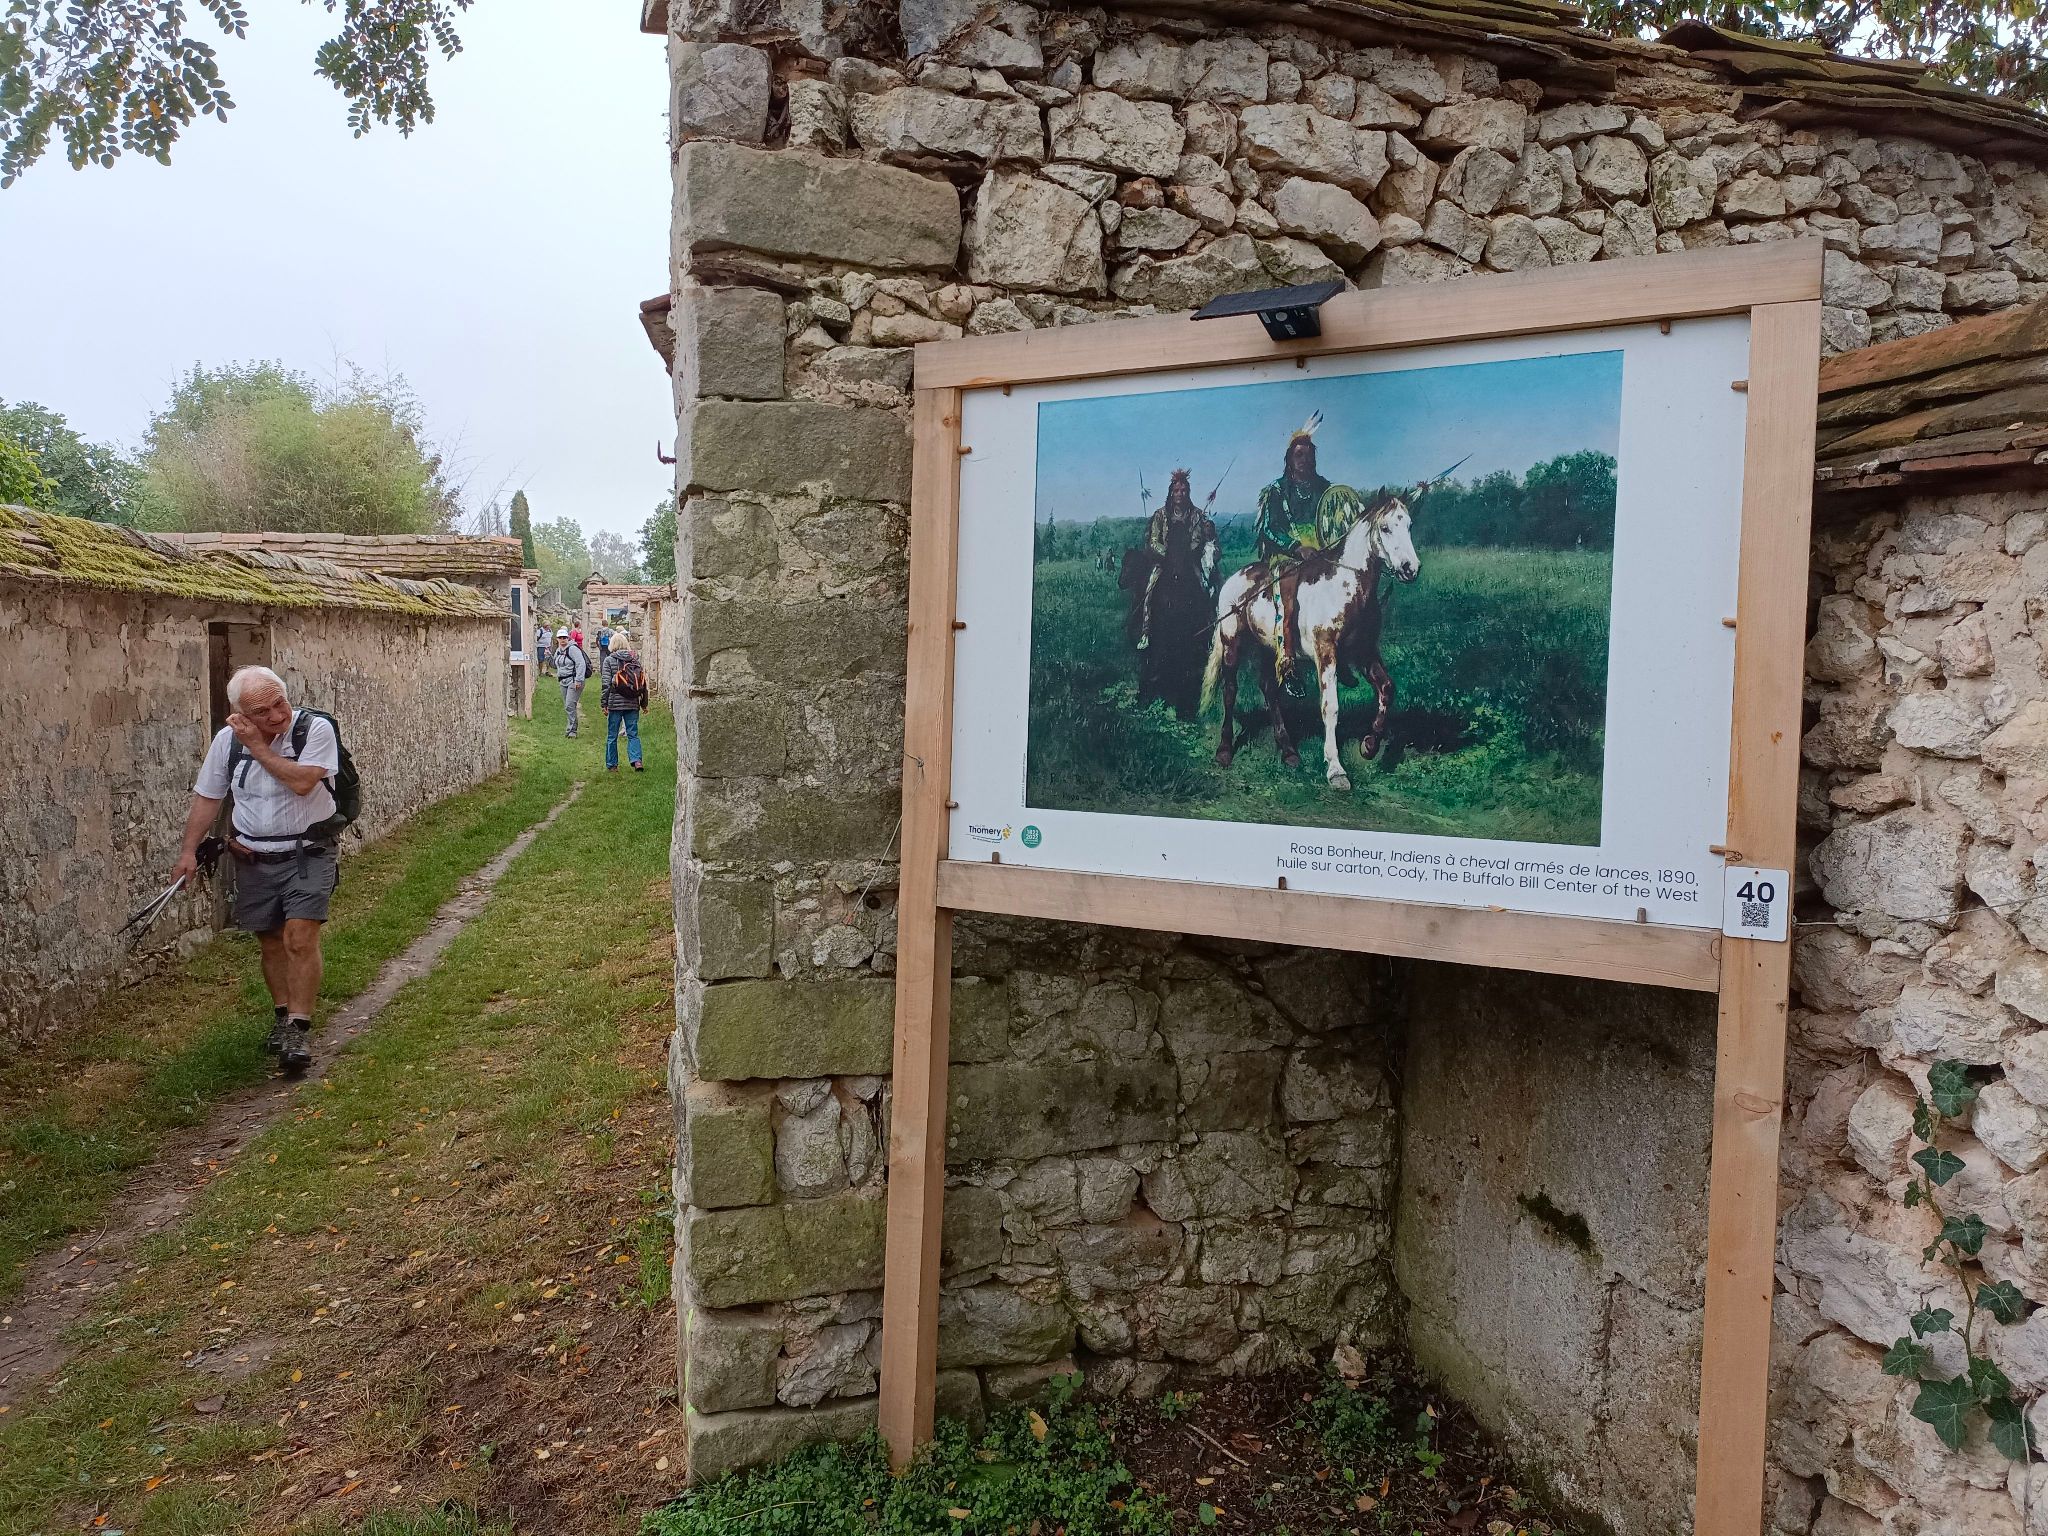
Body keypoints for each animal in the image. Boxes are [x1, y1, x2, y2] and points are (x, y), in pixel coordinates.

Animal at [1200, 495, 1421, 791]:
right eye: (1385, 528)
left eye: (1408, 525)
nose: (1410, 568)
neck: (1344, 587)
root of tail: (1233, 581)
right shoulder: (1326, 652)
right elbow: (1331, 707)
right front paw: (1336, 769)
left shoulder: (1363, 652)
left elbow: (1387, 688)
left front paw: (1370, 746)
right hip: (1231, 642)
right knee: (1230, 691)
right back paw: (1224, 751)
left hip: (1268, 649)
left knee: (1269, 690)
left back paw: (1288, 752)